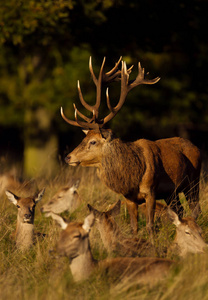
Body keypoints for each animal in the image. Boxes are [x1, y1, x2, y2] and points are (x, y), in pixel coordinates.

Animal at [60, 55, 202, 234]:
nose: (68, 157)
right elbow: (134, 227)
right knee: (180, 210)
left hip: (194, 181)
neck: (132, 176)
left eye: (93, 141)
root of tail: (196, 147)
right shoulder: (129, 198)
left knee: (196, 208)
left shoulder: (151, 191)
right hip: (172, 193)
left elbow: (149, 225)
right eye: (83, 139)